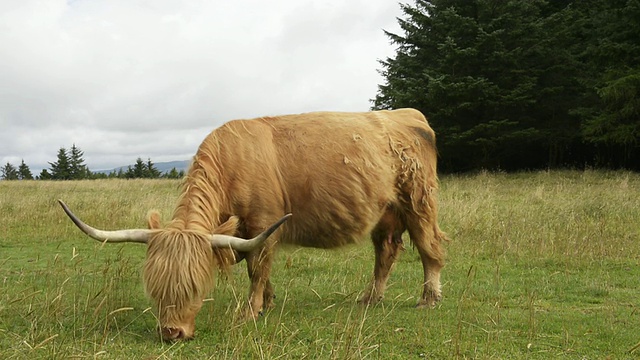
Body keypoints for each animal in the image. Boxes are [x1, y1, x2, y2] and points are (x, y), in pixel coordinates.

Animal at [61, 108, 450, 342]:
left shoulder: (265, 223)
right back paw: (371, 298)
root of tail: (407, 114)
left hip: (419, 201)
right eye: (154, 289)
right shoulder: (247, 232)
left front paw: (250, 311)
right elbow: (255, 264)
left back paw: (428, 299)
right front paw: (266, 303)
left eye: (196, 288)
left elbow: (256, 268)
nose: (172, 332)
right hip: (385, 212)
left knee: (429, 247)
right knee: (386, 251)